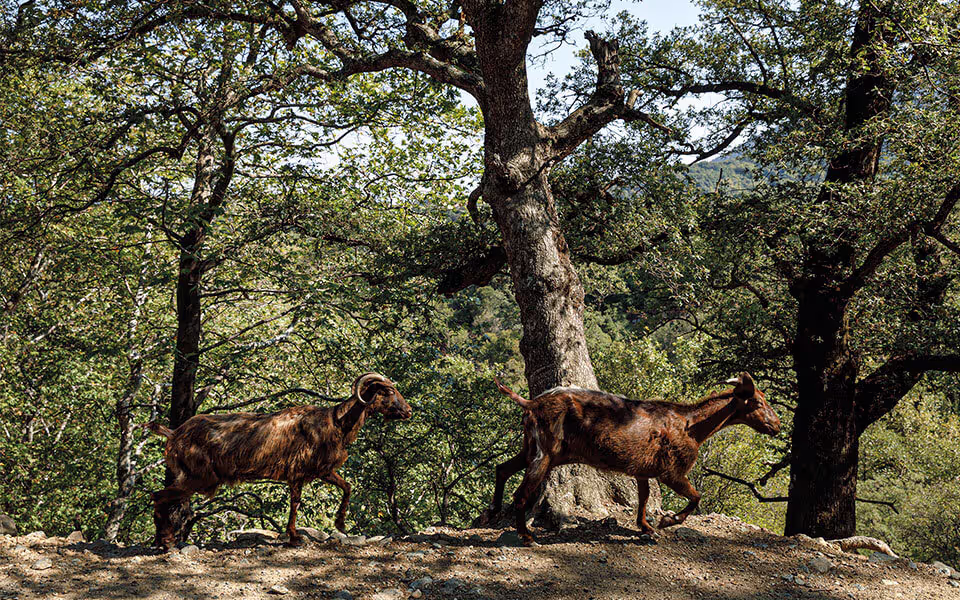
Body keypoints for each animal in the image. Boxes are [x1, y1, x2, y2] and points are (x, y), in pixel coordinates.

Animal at [143, 372, 412, 549]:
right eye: (387, 391)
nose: (408, 411)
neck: (336, 422)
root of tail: (174, 434)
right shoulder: (305, 471)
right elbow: (298, 502)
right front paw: (300, 536)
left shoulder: (315, 472)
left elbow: (343, 488)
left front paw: (333, 526)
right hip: (197, 477)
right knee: (158, 496)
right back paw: (166, 541)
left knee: (160, 497)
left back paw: (162, 541)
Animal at [478, 372, 780, 545]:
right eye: (758, 402)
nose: (776, 426)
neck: (691, 426)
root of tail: (530, 403)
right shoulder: (672, 471)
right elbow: (695, 496)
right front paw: (666, 521)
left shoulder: (643, 470)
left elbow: (643, 497)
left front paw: (645, 527)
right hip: (545, 452)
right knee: (520, 493)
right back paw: (527, 536)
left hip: (531, 448)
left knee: (502, 468)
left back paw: (492, 512)